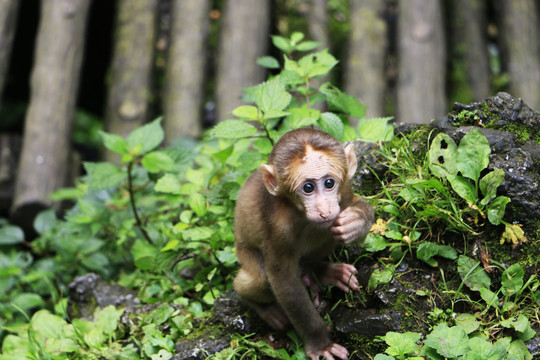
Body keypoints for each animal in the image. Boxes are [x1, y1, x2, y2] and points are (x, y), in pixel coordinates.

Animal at [234, 128, 374, 358]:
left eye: (329, 183)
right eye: (308, 188)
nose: (324, 210)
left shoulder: (344, 191)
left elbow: (355, 205)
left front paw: (355, 221)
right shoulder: (278, 227)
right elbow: (284, 281)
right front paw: (320, 343)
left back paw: (317, 270)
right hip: (245, 255)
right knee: (260, 279)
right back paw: (266, 308)